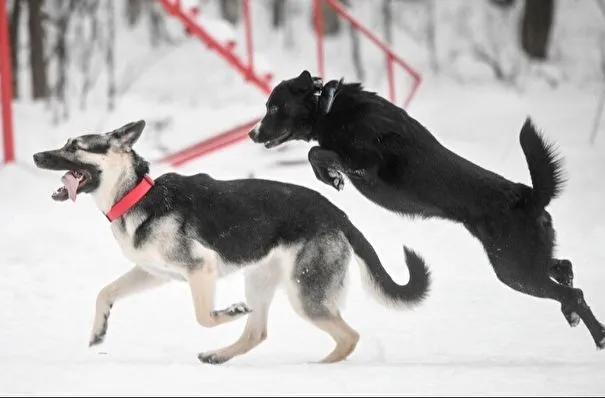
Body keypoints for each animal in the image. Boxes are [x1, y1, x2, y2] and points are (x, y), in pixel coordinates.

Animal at [31, 119, 430, 366]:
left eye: (74, 146)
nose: (35, 155)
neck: (135, 195)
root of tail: (338, 215)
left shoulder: (200, 269)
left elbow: (204, 317)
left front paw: (228, 312)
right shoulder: (153, 272)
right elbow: (105, 292)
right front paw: (99, 330)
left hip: (305, 295)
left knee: (349, 336)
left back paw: (318, 366)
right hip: (260, 279)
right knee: (258, 333)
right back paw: (219, 355)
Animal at [248, 70, 604, 350]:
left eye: (274, 107)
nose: (252, 133)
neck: (329, 107)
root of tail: (528, 196)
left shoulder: (364, 166)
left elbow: (317, 153)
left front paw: (331, 177)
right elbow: (316, 153)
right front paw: (330, 177)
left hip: (515, 270)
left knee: (573, 292)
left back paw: (598, 336)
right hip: (524, 260)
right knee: (564, 269)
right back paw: (575, 316)